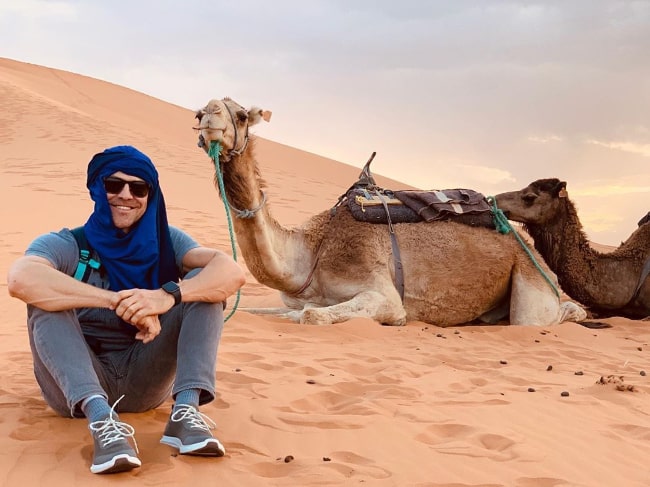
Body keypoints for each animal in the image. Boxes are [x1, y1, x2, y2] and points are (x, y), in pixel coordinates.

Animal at [194, 98, 588, 328]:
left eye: (240, 115)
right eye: (201, 110)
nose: (207, 115)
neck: (312, 253)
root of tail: (533, 252)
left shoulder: (381, 294)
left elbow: (310, 315)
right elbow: (256, 310)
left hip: (531, 285)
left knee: (544, 317)